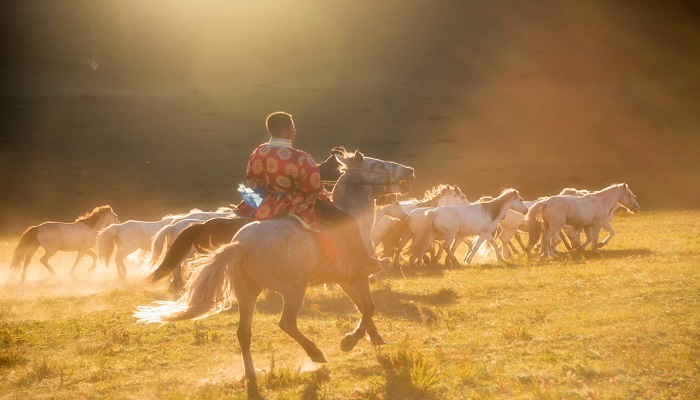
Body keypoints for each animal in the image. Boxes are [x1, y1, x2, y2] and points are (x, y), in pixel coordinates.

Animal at [134, 148, 412, 398]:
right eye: (379, 165)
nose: (409, 171)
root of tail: (240, 244)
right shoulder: (357, 276)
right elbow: (368, 307)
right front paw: (350, 340)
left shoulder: (345, 280)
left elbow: (363, 307)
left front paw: (374, 337)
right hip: (294, 289)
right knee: (286, 323)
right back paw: (315, 353)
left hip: (247, 292)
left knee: (244, 334)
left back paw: (251, 374)